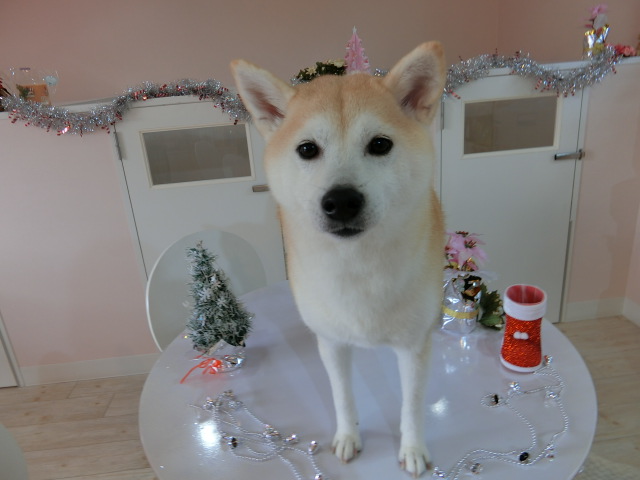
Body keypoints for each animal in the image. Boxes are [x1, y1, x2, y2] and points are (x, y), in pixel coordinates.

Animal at [231, 41, 446, 477]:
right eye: (307, 149)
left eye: (379, 145)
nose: (342, 201)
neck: (357, 266)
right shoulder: (330, 344)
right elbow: (342, 397)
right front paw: (349, 437)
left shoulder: (414, 347)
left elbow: (413, 406)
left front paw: (413, 448)